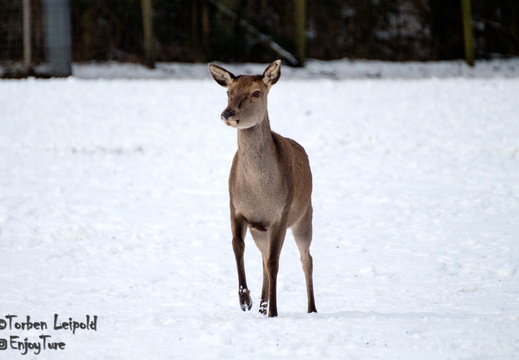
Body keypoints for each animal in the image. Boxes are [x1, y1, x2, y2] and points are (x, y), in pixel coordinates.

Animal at [208, 60, 316, 316]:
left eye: (256, 93)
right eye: (228, 92)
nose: (227, 113)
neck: (259, 195)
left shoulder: (281, 214)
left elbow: (275, 262)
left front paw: (274, 311)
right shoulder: (236, 208)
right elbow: (237, 246)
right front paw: (245, 300)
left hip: (304, 215)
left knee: (306, 258)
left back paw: (311, 309)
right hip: (261, 230)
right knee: (264, 259)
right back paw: (260, 307)